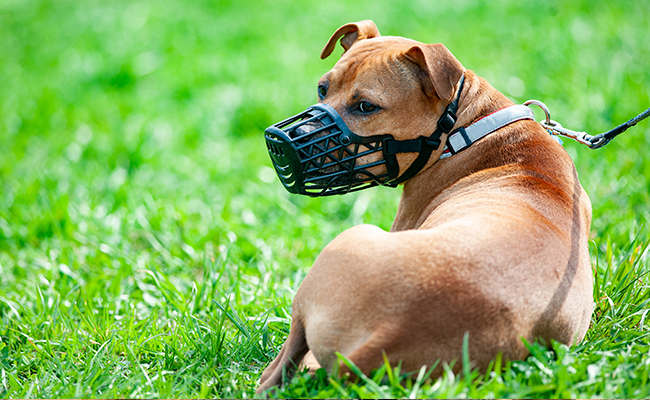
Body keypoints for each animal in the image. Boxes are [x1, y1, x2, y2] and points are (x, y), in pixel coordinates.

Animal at [256, 20, 588, 392]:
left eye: (366, 107)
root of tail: (392, 330)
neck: (462, 130)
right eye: (322, 89)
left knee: (277, 368)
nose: (280, 142)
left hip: (346, 245)